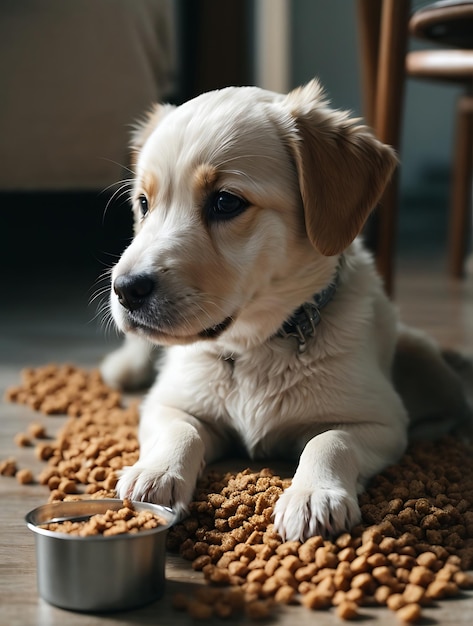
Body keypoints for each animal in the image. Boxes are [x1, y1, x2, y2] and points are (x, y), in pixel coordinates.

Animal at [101, 80, 470, 540]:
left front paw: (312, 494)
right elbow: (180, 430)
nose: (125, 290)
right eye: (144, 204)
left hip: (424, 357)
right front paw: (156, 473)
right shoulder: (168, 403)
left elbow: (329, 441)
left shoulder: (381, 423)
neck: (255, 345)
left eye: (225, 202)